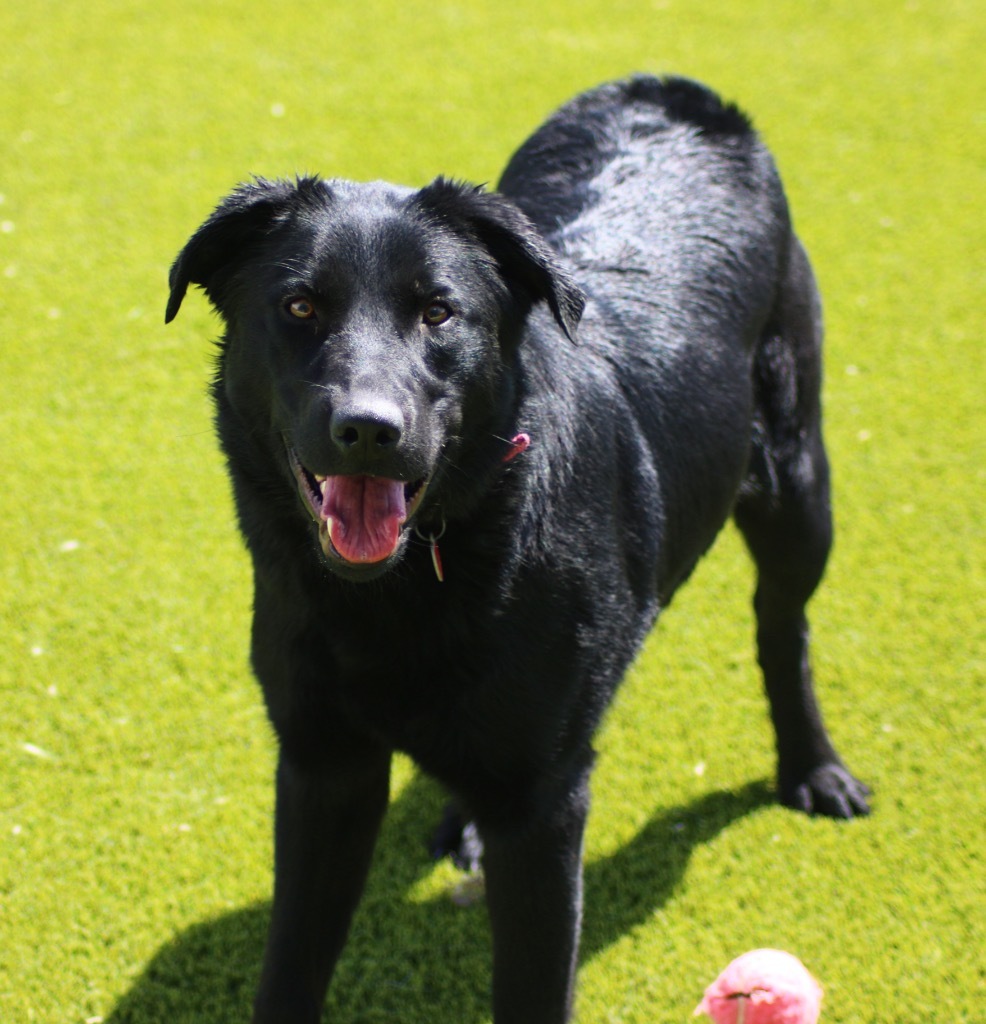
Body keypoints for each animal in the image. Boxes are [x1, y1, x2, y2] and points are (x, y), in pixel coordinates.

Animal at [169, 75, 872, 1019]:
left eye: (439, 312)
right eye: (299, 307)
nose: (368, 430)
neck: (406, 587)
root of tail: (674, 92)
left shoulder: (543, 805)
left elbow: (532, 984)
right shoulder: (322, 764)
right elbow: (291, 965)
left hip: (800, 490)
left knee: (781, 627)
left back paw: (814, 769)